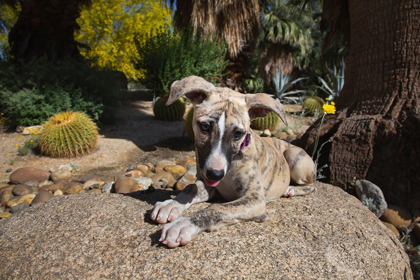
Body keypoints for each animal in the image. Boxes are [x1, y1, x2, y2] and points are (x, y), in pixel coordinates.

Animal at [150, 75, 316, 247]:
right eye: (205, 126)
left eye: (238, 134)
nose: (215, 174)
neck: (234, 161)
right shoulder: (210, 185)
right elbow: (191, 187)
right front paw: (170, 205)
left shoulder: (255, 200)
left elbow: (216, 208)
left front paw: (183, 224)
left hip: (293, 156)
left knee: (312, 186)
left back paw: (292, 189)